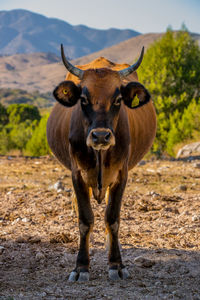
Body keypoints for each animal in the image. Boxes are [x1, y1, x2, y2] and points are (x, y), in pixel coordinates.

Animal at [46, 44, 156, 282]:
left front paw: (116, 264)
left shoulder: (121, 175)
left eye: (117, 100)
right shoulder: (77, 175)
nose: (101, 136)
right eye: (83, 99)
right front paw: (81, 267)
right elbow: (85, 220)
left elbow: (112, 218)